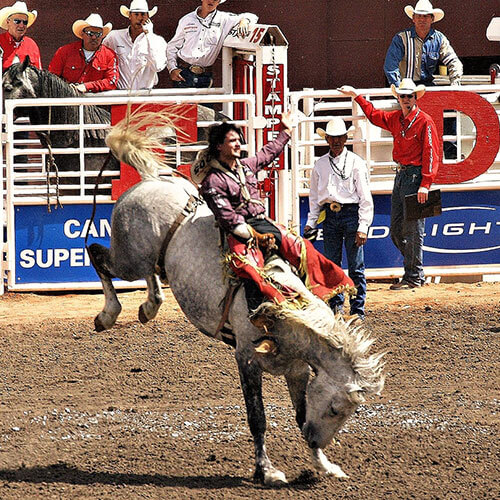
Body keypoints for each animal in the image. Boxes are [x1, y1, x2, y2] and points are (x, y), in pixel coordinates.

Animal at [86, 109, 384, 484]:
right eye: (334, 408)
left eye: (345, 413)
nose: (315, 438)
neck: (284, 310)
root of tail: (155, 180)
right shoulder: (247, 358)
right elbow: (258, 418)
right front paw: (266, 471)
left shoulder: (297, 370)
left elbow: (300, 413)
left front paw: (324, 465)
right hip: (127, 257)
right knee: (98, 255)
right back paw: (108, 314)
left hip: (151, 259)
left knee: (151, 276)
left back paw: (149, 306)